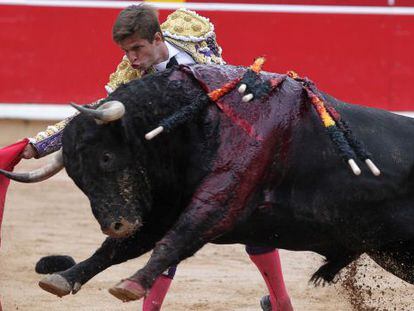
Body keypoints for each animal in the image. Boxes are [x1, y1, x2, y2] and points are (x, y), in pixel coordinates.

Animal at [3, 63, 414, 304]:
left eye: (105, 157)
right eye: (75, 176)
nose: (116, 224)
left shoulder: (219, 201)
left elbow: (177, 239)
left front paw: (131, 284)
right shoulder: (159, 211)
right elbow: (116, 250)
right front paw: (64, 277)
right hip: (391, 251)